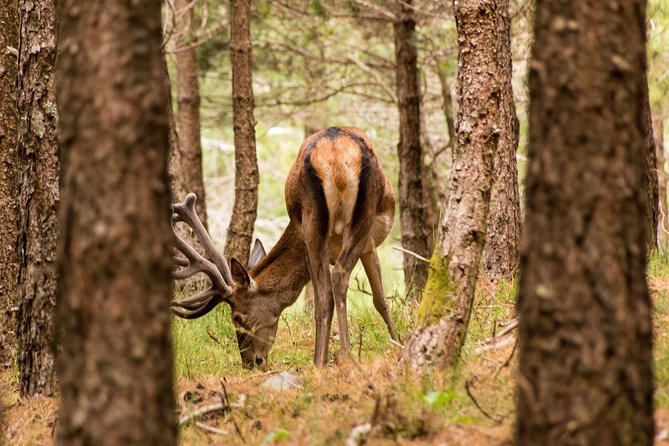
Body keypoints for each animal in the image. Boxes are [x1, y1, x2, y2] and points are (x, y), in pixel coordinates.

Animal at [171, 124, 396, 366]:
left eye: (237, 317)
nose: (250, 362)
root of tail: (335, 156)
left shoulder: (358, 246)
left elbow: (379, 299)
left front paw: (396, 341)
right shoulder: (366, 245)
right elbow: (380, 299)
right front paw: (398, 341)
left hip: (315, 223)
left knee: (327, 292)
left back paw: (324, 360)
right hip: (351, 220)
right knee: (335, 283)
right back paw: (338, 357)